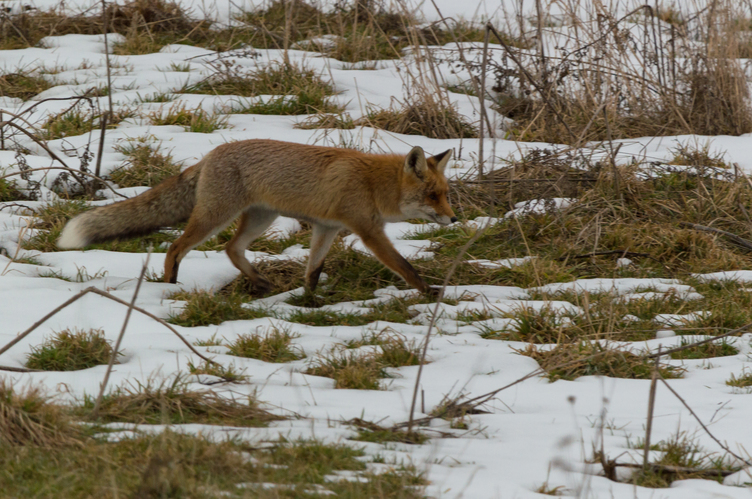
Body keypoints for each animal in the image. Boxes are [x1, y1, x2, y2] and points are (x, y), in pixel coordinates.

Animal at [57, 139, 458, 294]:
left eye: (446, 194)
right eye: (432, 196)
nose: (454, 220)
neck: (374, 184)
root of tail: (212, 153)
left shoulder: (327, 227)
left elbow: (313, 270)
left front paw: (308, 300)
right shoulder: (368, 231)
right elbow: (405, 265)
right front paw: (429, 293)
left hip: (260, 219)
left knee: (232, 250)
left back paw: (260, 282)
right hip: (215, 217)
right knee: (175, 247)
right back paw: (170, 286)